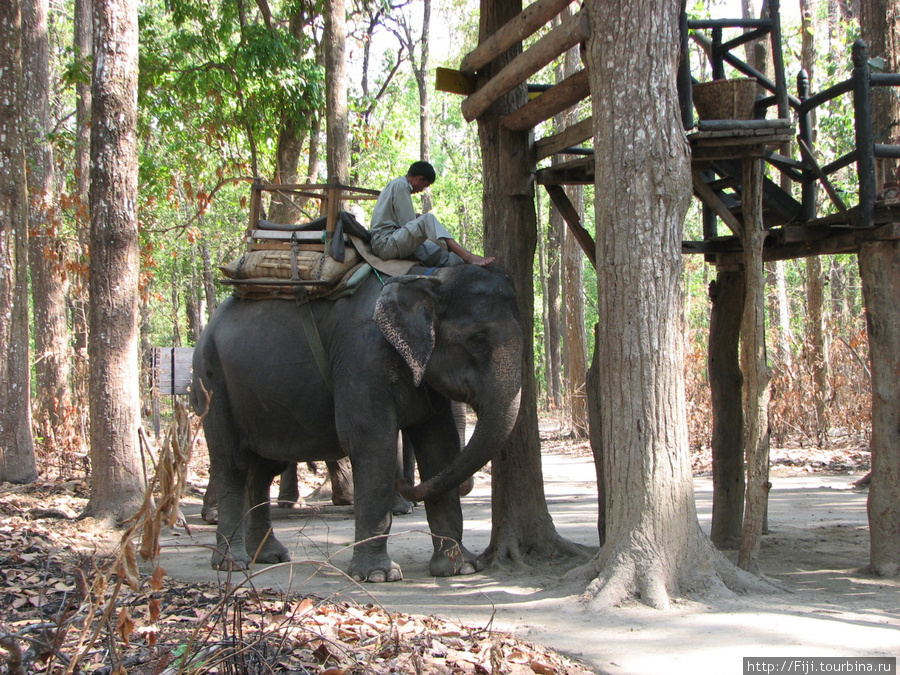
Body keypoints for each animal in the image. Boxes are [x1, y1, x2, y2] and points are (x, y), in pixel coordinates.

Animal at [193, 264, 524, 580]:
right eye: (479, 339)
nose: (406, 482)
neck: (426, 277)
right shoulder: (361, 356)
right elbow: (372, 440)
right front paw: (378, 575)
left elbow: (439, 445)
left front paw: (460, 568)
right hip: (212, 381)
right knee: (232, 462)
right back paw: (233, 563)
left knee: (263, 469)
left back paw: (269, 556)